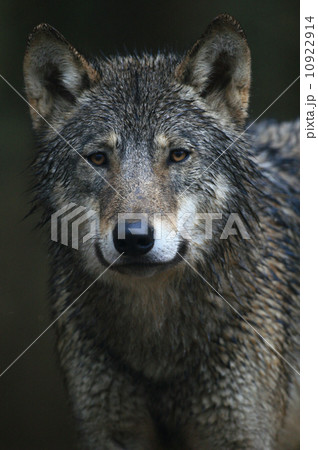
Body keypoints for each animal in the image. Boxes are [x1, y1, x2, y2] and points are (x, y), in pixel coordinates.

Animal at [23, 14, 300, 450]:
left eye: (178, 155)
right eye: (98, 158)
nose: (134, 238)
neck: (157, 351)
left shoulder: (239, 434)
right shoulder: (110, 431)